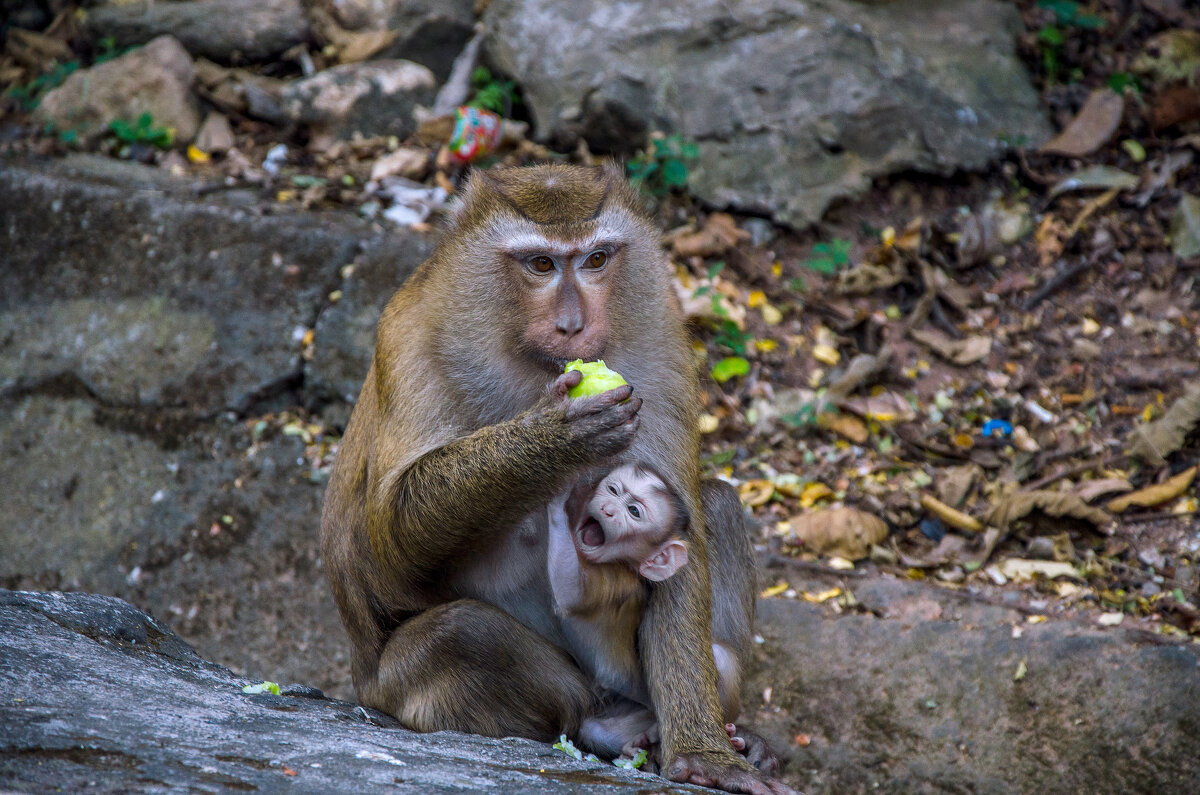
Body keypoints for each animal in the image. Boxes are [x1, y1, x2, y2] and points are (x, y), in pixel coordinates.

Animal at [321, 163, 796, 795]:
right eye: (541, 265)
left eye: (595, 259)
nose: (573, 326)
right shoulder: (409, 342)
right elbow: (391, 537)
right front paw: (554, 439)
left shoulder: (663, 353)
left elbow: (680, 529)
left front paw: (705, 755)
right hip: (395, 692)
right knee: (462, 634)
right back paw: (595, 733)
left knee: (715, 502)